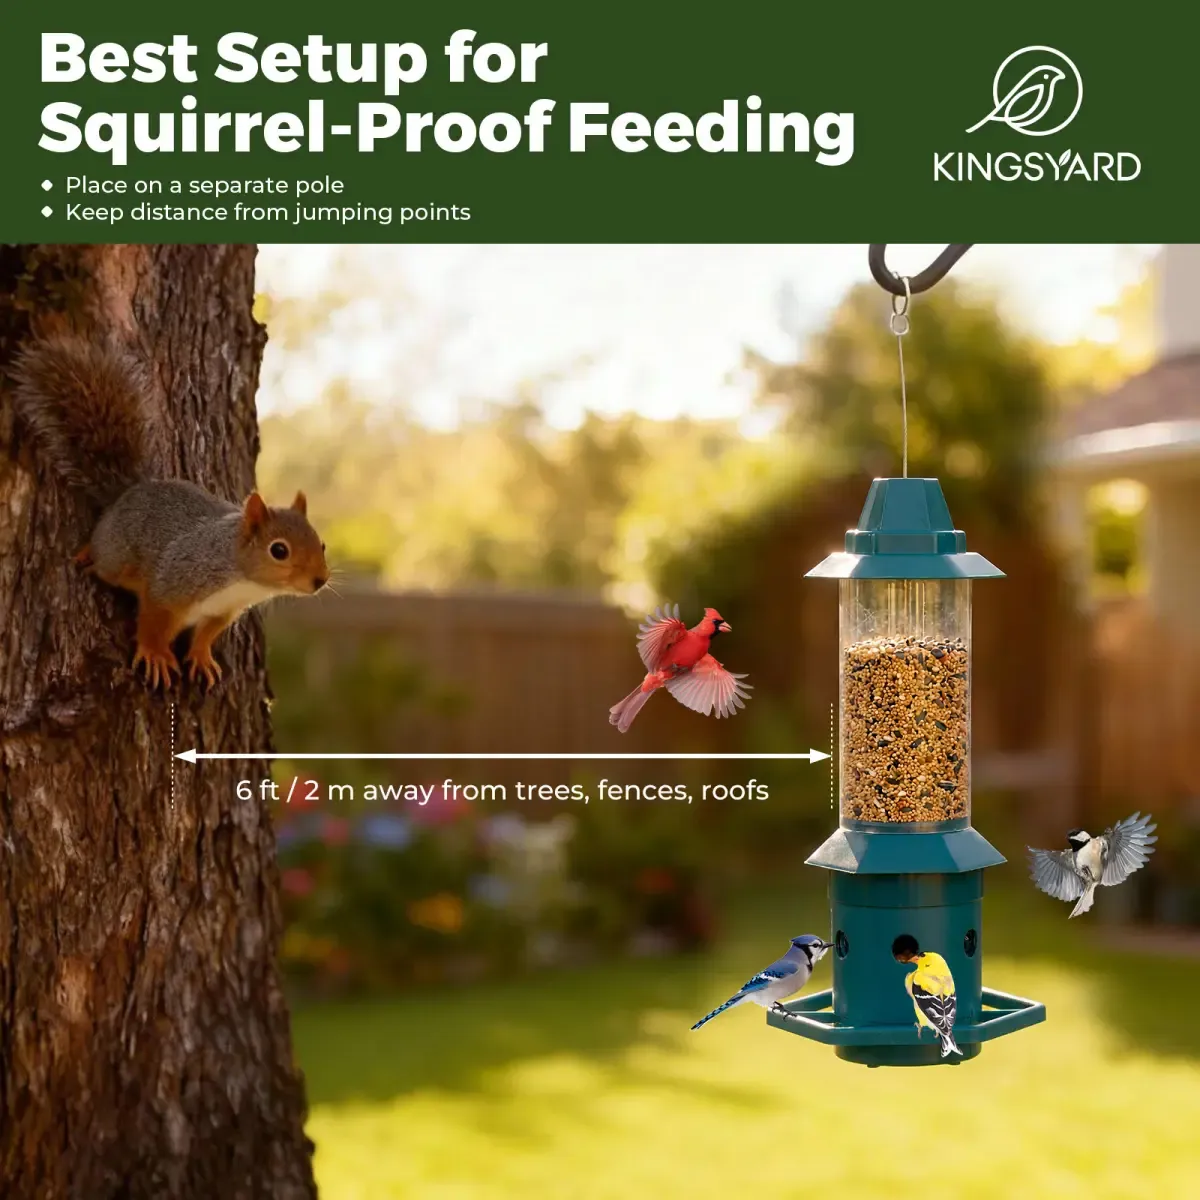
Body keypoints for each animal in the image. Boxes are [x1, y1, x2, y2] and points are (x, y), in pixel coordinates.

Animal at [10, 334, 330, 689]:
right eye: (279, 550)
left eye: (322, 544)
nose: (320, 580)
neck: (238, 576)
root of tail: (128, 493)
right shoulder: (170, 585)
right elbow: (152, 622)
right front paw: (156, 655)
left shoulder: (220, 612)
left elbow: (206, 635)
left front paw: (201, 657)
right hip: (117, 557)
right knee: (104, 561)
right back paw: (87, 554)